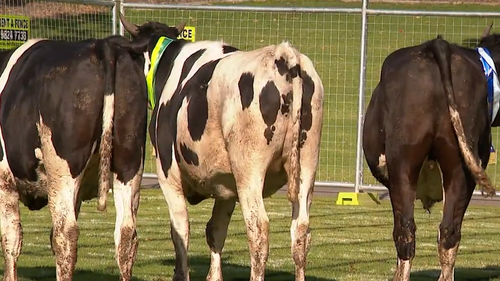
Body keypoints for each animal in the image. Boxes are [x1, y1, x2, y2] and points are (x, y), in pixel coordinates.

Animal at [0, 36, 147, 278]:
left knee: (65, 234)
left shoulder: (4, 180)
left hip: (62, 171)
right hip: (129, 163)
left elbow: (11, 238)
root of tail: (104, 44)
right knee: (126, 235)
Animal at [119, 15, 326, 280]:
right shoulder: (226, 185)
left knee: (258, 229)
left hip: (249, 171)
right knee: (300, 231)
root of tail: (284, 56)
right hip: (307, 166)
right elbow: (215, 230)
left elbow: (180, 229)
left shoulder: (168, 174)